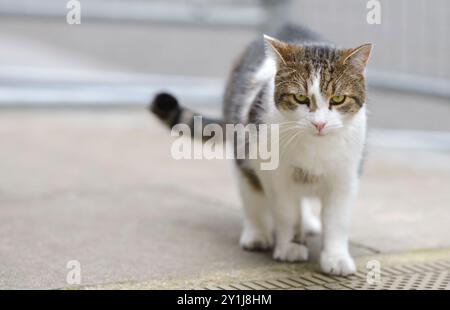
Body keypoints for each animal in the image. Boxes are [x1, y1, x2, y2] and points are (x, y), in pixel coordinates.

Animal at [149, 24, 370, 276]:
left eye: (338, 98)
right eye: (300, 97)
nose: (320, 124)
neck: (315, 147)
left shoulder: (345, 177)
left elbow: (337, 221)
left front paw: (336, 258)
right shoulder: (277, 177)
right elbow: (287, 213)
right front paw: (291, 247)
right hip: (245, 156)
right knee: (252, 197)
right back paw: (256, 235)